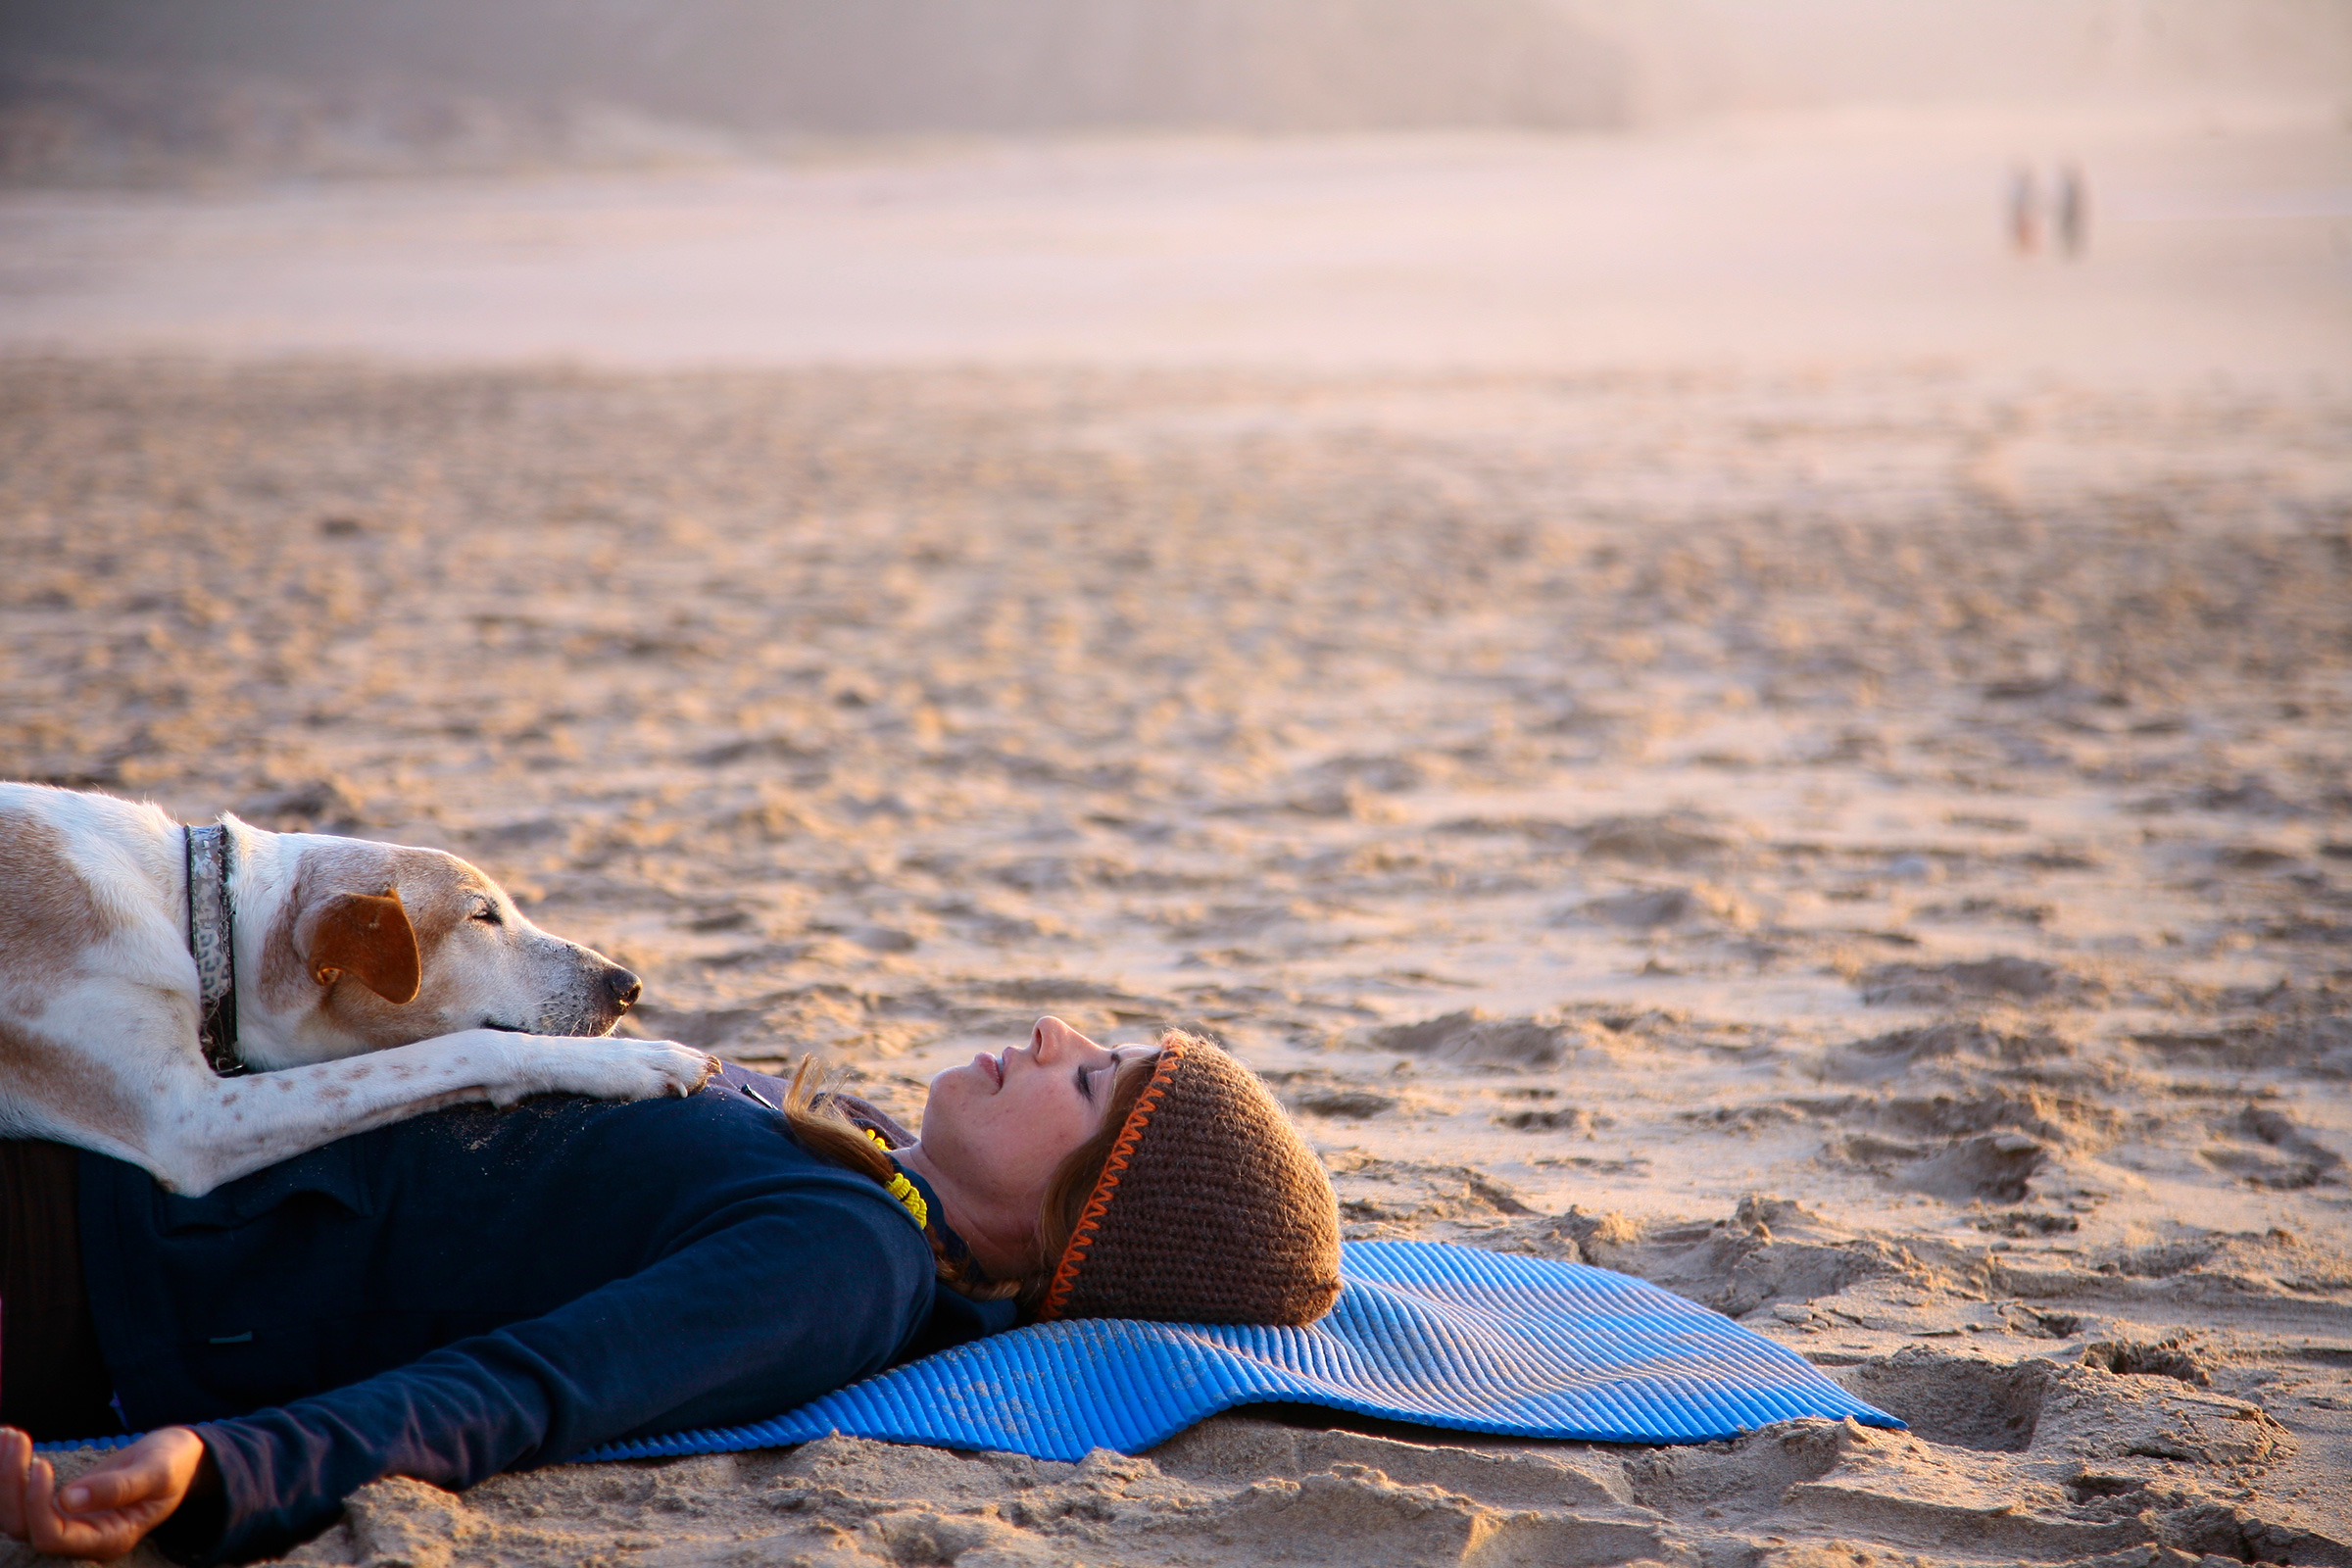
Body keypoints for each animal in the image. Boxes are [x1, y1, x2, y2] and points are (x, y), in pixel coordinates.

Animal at [2, 780, 714, 1194]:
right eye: (482, 916)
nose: (628, 985)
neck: (200, 910)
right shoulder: (187, 1119)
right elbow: (466, 1048)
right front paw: (637, 1061)